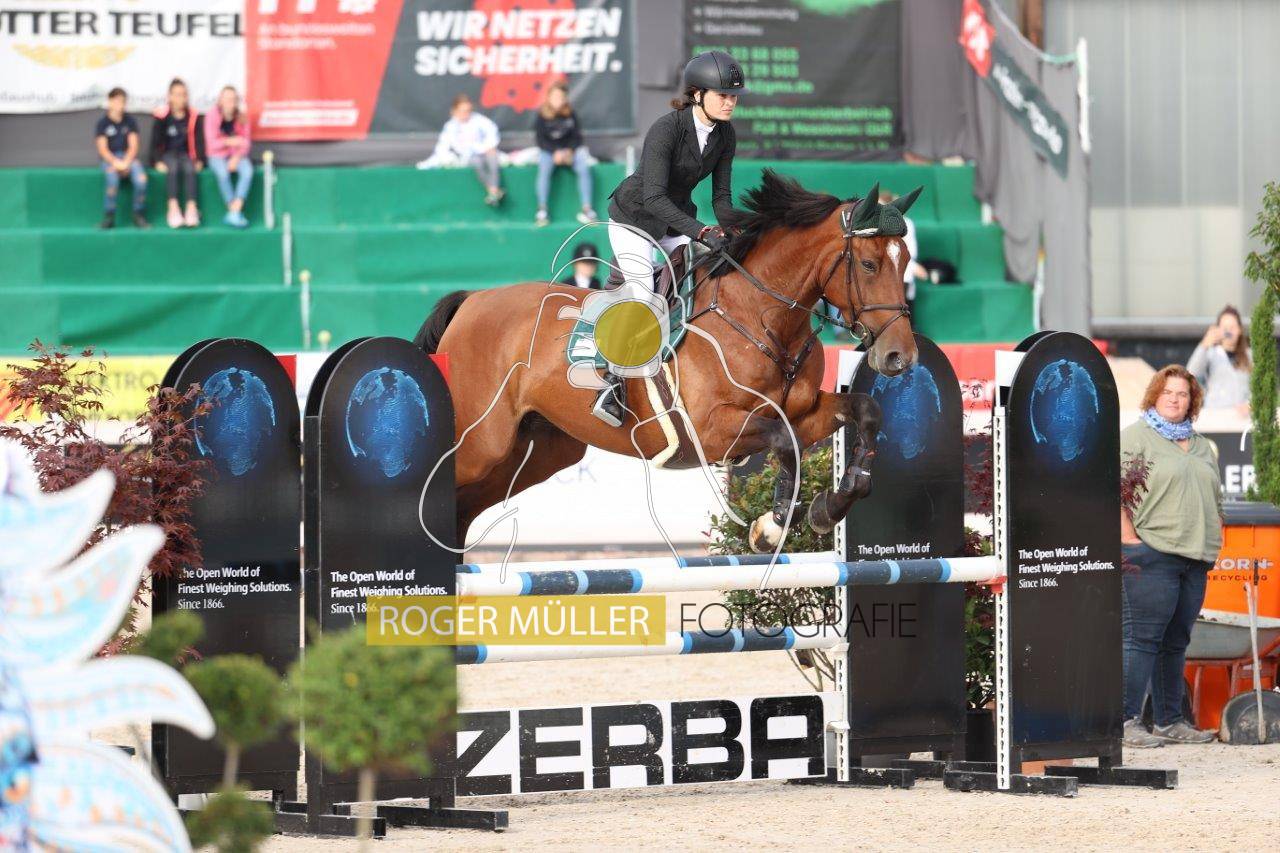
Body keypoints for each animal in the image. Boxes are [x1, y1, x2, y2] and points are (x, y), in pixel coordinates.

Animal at [415, 170, 923, 552]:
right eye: (869, 265)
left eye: (906, 262)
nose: (899, 356)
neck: (762, 317)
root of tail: (472, 300)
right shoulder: (711, 431)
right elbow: (785, 443)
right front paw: (773, 526)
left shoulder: (805, 411)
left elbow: (863, 412)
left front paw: (820, 512)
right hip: (483, 442)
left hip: (538, 450)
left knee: (464, 507)